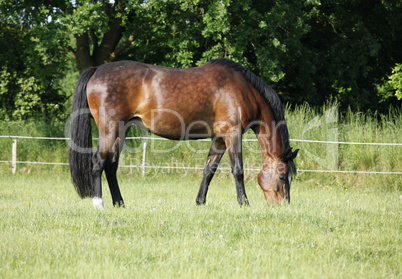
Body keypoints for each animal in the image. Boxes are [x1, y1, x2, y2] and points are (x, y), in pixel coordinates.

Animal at [68, 59, 298, 209]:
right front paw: (244, 203)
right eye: (281, 175)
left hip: (120, 131)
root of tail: (97, 70)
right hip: (109, 128)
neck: (243, 90)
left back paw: (120, 203)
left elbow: (209, 170)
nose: (283, 205)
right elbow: (238, 170)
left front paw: (200, 202)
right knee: (98, 162)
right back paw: (99, 203)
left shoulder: (219, 139)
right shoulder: (232, 134)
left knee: (111, 166)